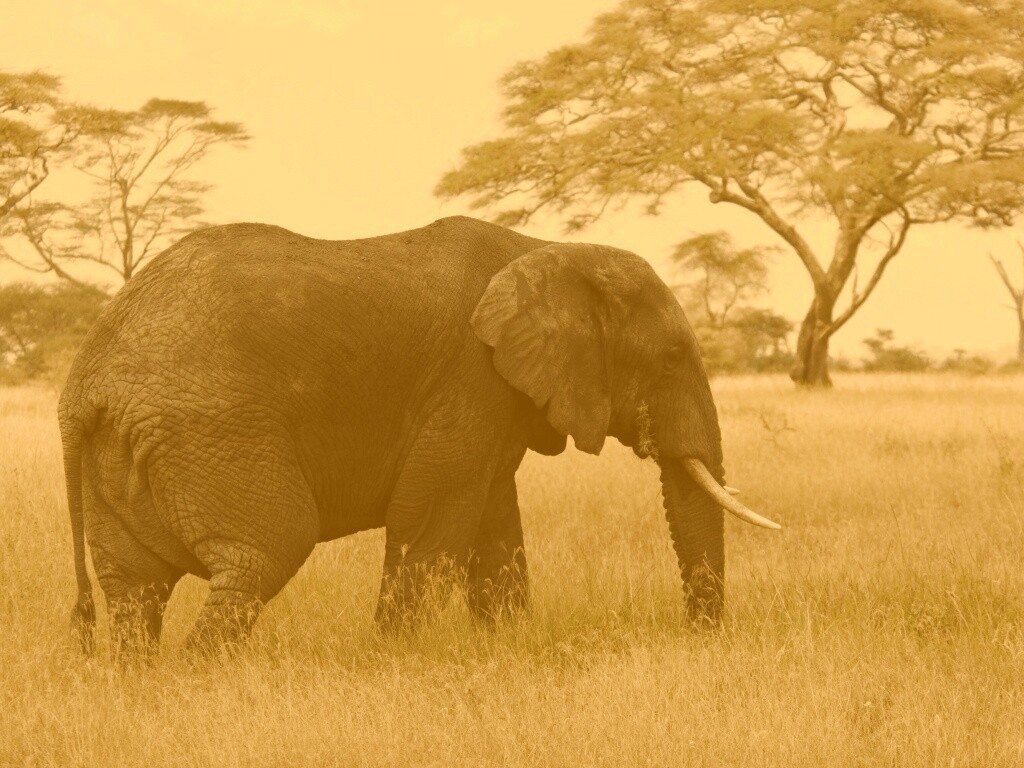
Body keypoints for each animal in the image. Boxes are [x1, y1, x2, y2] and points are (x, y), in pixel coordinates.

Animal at [59, 215, 779, 654]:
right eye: (670, 359)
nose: (699, 639)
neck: (545, 249)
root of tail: (84, 381)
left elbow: (493, 525)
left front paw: (504, 649)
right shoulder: (468, 379)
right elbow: (431, 519)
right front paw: (393, 660)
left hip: (126, 452)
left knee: (134, 590)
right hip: (211, 431)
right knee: (265, 551)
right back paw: (200, 681)